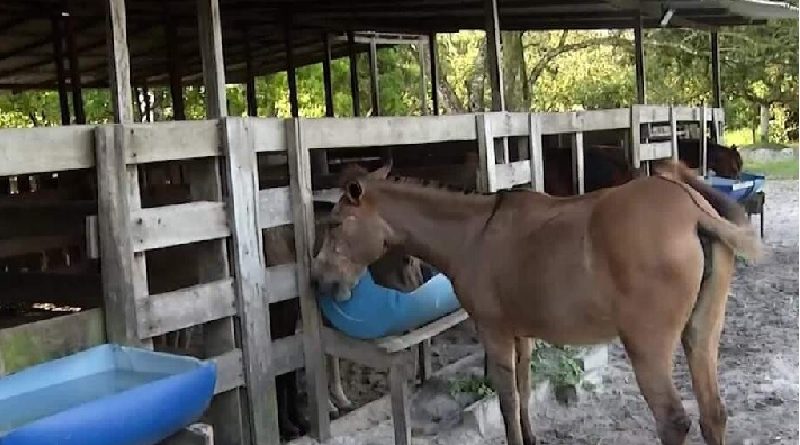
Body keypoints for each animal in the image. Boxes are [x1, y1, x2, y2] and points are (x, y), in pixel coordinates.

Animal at [309, 160, 760, 445]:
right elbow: (524, 391)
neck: (472, 235)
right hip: (701, 334)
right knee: (713, 414)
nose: (319, 281)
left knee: (672, 422)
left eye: (335, 224)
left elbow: (507, 397)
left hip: (647, 346)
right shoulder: (520, 332)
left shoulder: (492, 331)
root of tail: (693, 212)